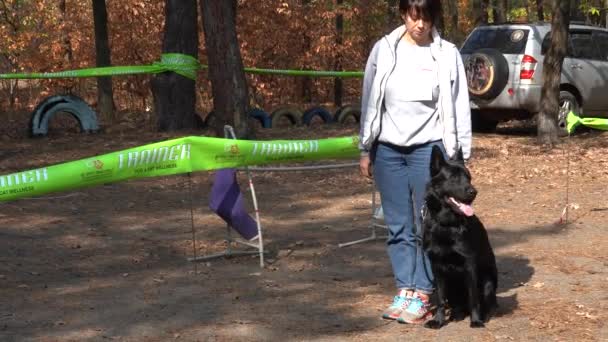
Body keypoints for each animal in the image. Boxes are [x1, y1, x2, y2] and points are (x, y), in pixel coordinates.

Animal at [422, 146, 498, 328]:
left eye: (469, 178)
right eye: (454, 178)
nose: (474, 192)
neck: (447, 224)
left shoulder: (469, 266)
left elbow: (473, 298)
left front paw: (476, 320)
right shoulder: (437, 267)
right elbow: (440, 299)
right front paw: (438, 321)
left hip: (487, 280)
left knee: (486, 302)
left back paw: (483, 315)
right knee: (456, 304)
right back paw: (457, 314)